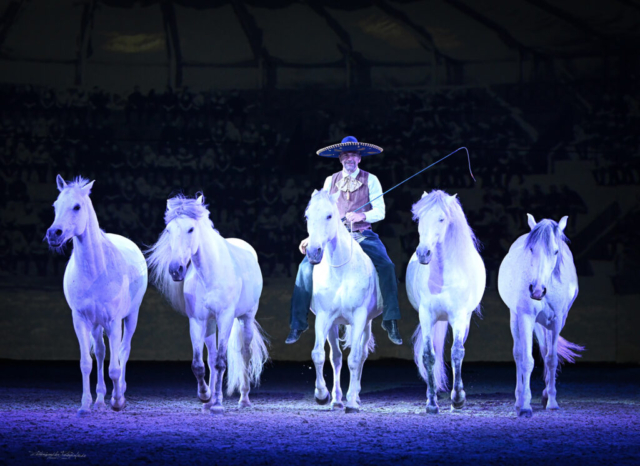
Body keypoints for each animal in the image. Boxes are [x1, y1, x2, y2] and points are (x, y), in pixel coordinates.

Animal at [47, 175, 148, 416]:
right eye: (55, 206)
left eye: (77, 206)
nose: (54, 234)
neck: (95, 272)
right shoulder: (81, 320)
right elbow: (86, 362)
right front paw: (85, 405)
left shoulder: (114, 321)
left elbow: (115, 367)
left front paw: (118, 401)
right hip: (96, 324)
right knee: (101, 353)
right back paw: (100, 399)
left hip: (131, 317)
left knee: (123, 351)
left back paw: (119, 393)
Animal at [304, 189, 380, 412]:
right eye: (307, 216)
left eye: (329, 216)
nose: (313, 251)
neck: (341, 270)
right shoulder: (323, 317)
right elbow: (320, 355)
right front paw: (322, 395)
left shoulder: (359, 317)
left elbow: (354, 359)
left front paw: (352, 402)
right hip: (333, 324)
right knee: (336, 358)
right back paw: (337, 399)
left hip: (366, 324)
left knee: (361, 356)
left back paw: (355, 396)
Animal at [404, 191, 484, 414]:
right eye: (420, 219)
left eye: (441, 219)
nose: (423, 253)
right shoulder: (426, 316)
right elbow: (429, 356)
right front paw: (431, 403)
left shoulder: (458, 316)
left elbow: (457, 353)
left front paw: (458, 398)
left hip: (463, 321)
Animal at [500, 213, 584, 416]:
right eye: (531, 249)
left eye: (556, 251)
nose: (537, 291)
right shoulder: (526, 318)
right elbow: (527, 360)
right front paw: (525, 406)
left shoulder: (556, 322)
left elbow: (551, 359)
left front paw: (552, 401)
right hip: (516, 318)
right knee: (518, 354)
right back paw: (518, 399)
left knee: (545, 351)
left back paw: (545, 395)